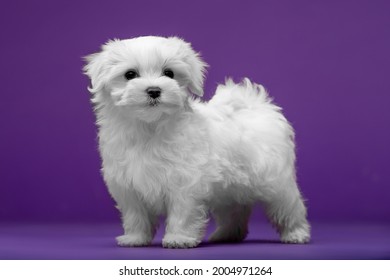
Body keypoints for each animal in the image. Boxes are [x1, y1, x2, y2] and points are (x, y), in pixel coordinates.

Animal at [83, 35, 310, 247]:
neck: (150, 127)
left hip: (275, 180)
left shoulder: (184, 181)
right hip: (229, 188)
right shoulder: (128, 185)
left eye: (169, 73)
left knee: (288, 205)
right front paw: (135, 238)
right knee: (234, 210)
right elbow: (136, 215)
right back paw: (227, 234)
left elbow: (182, 212)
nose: (154, 90)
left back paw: (296, 233)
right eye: (130, 74)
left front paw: (178, 238)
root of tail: (257, 106)